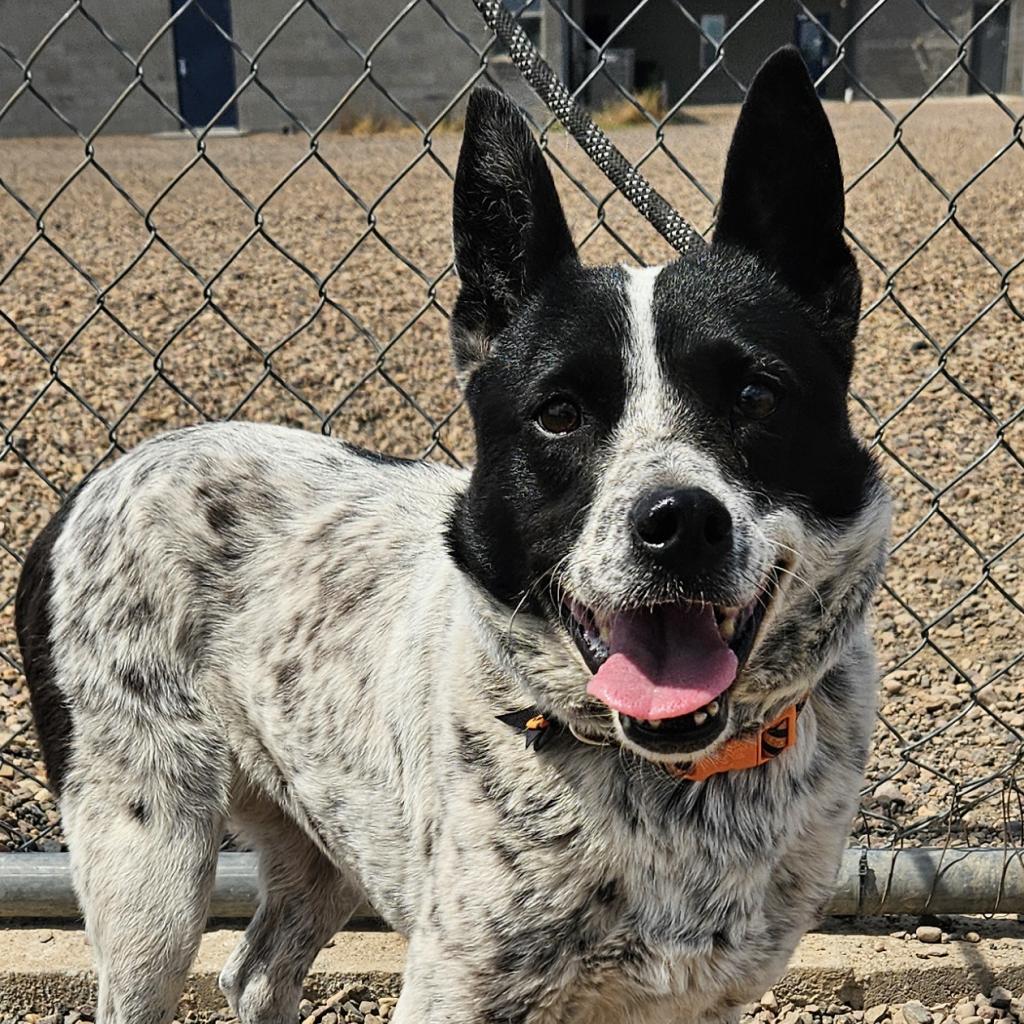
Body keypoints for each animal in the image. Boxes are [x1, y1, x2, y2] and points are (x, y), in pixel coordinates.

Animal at [19, 46, 892, 1024]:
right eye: (559, 413)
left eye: (756, 396)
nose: (678, 524)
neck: (665, 782)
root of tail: (95, 480)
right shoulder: (459, 987)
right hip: (150, 867)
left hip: (321, 835)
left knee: (255, 973)